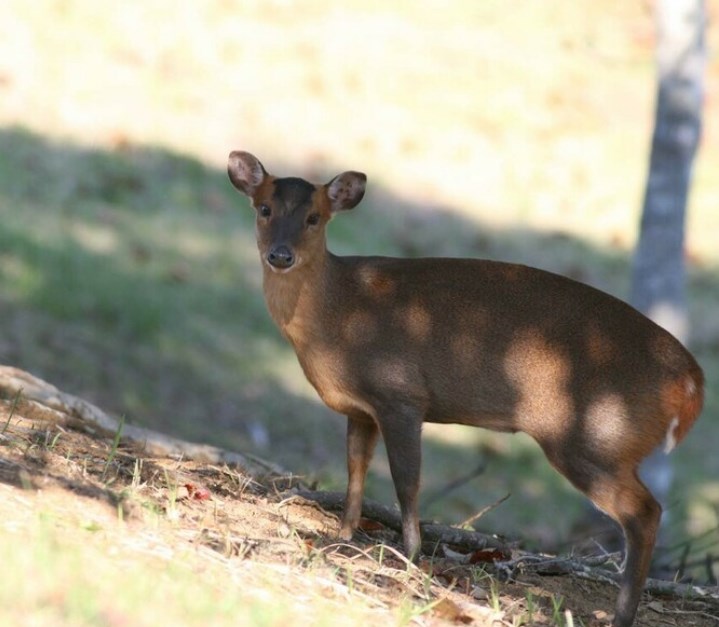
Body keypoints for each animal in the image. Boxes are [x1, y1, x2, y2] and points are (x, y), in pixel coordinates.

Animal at [228, 152, 704, 627]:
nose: (281, 255)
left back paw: (621, 614)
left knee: (645, 512)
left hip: (596, 435)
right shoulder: (361, 409)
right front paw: (343, 536)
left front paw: (410, 554)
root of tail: (692, 381)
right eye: (264, 208)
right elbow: (355, 470)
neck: (337, 316)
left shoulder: (400, 393)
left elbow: (407, 479)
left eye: (314, 217)